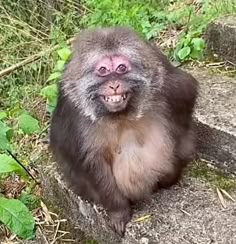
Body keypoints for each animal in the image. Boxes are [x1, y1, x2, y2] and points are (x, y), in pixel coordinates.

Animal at [48, 26, 198, 236]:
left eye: (121, 68)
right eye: (103, 70)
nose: (114, 85)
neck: (120, 115)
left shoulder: (164, 77)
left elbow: (186, 95)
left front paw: (172, 166)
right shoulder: (71, 111)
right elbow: (86, 161)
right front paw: (119, 211)